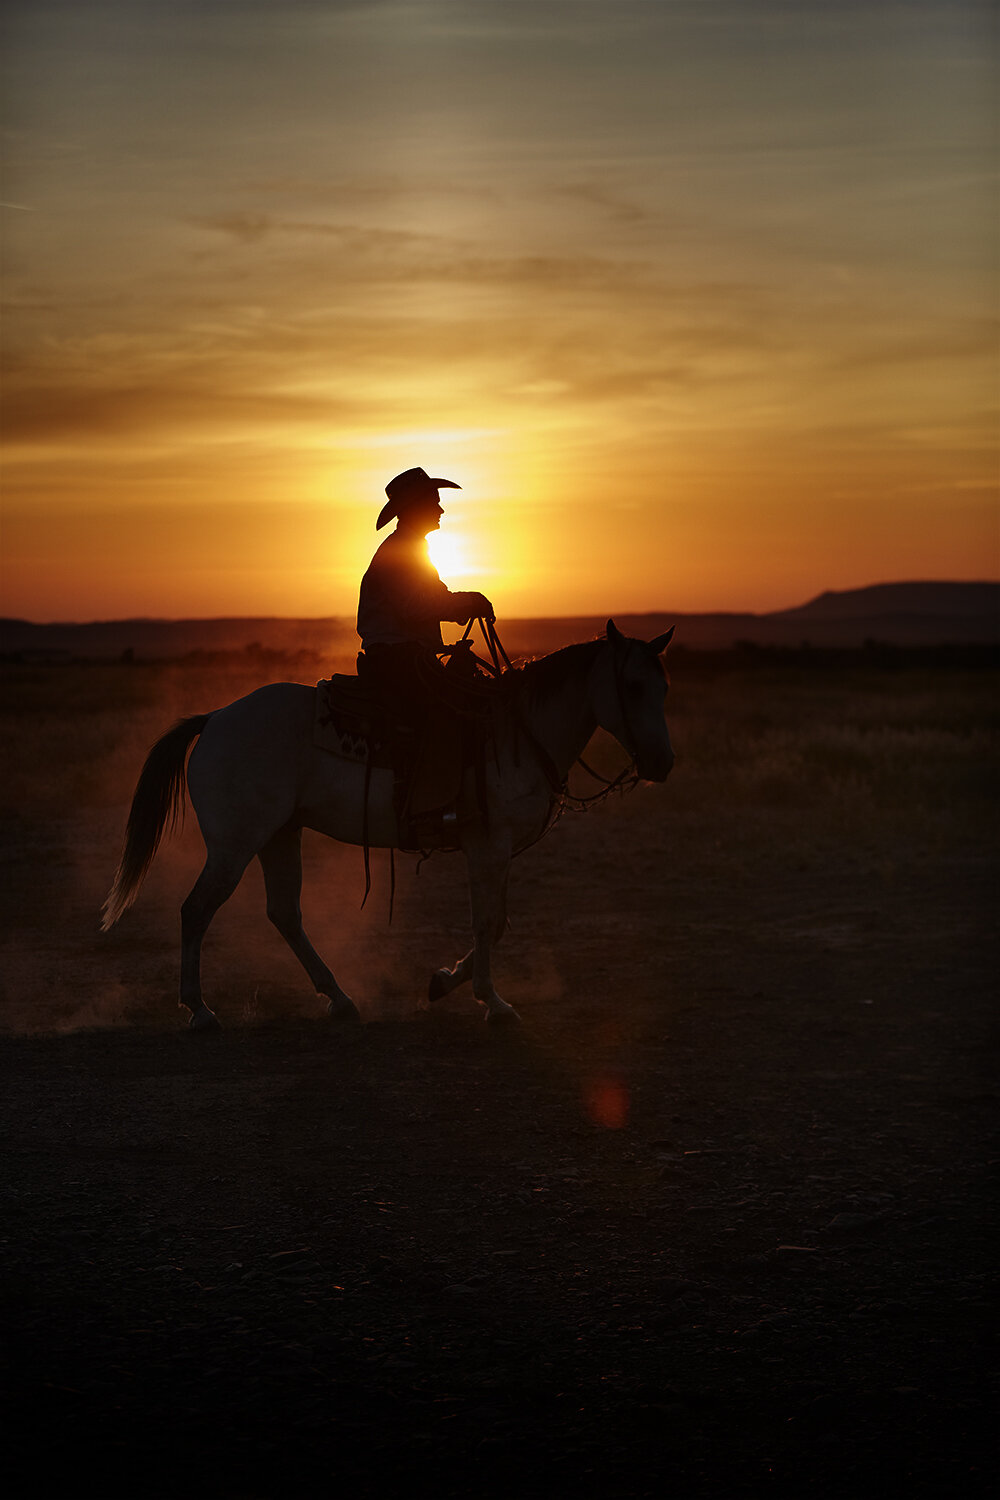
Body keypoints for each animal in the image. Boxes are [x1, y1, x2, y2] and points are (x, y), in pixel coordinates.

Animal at [101, 615, 671, 1026]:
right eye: (633, 686)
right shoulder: (487, 844)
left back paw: (339, 999)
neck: (518, 732)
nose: (662, 763)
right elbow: (485, 921)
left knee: (284, 913)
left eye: (664, 688)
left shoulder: (499, 849)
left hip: (279, 835)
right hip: (234, 844)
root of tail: (214, 719)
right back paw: (199, 1010)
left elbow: (498, 922)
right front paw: (493, 1003)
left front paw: (444, 981)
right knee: (197, 910)